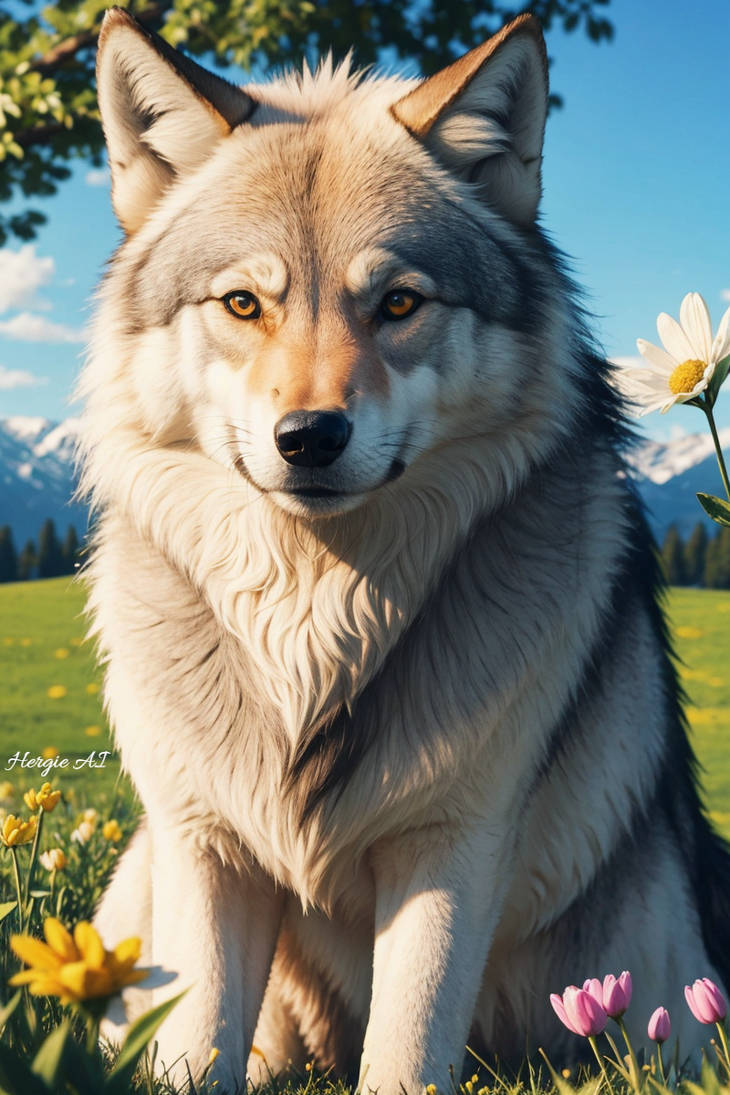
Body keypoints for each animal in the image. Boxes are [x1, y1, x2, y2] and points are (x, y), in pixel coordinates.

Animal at [80, 7, 730, 1093]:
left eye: (397, 303)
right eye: (244, 304)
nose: (308, 437)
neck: (313, 629)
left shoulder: (449, 850)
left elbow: (405, 1052)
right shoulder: (207, 846)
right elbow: (200, 1043)